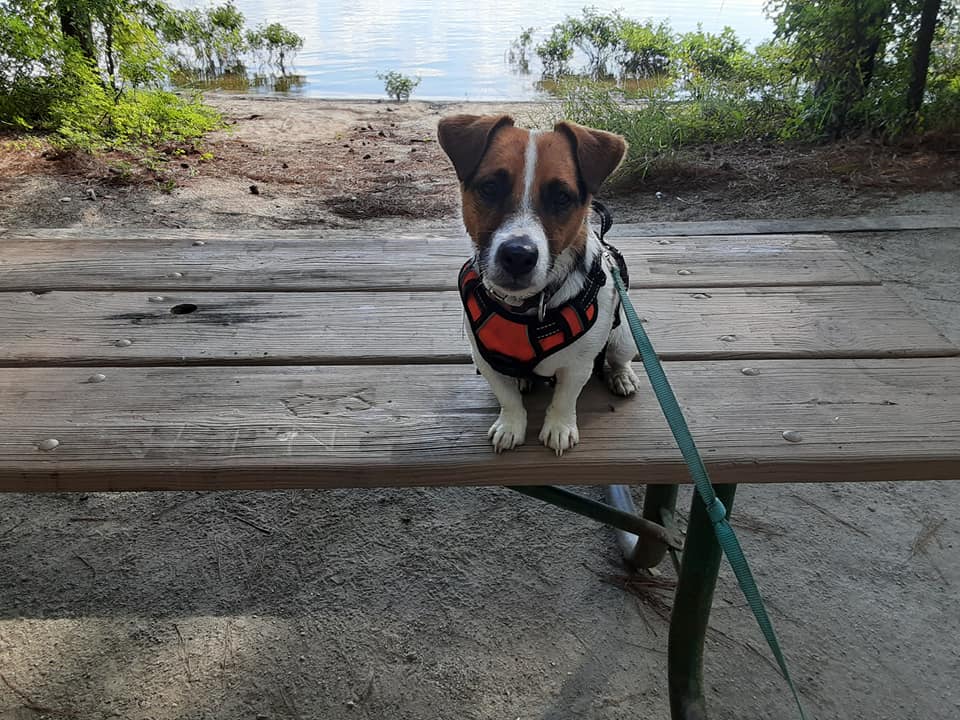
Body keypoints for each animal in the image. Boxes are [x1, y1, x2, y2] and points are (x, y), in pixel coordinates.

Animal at [440, 116, 636, 458]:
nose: (518, 255)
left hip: (624, 337)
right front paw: (511, 425)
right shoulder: (485, 360)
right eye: (490, 188)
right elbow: (507, 397)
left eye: (561, 197)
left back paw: (621, 375)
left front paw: (559, 427)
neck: (526, 305)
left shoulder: (578, 365)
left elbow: (565, 398)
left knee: (618, 356)